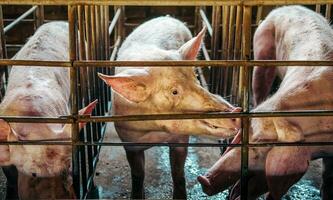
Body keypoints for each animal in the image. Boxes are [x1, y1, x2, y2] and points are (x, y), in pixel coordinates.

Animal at [97, 16, 240, 199]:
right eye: (174, 91)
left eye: (195, 78)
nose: (237, 111)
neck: (156, 132)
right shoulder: (128, 139)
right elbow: (138, 174)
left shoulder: (181, 139)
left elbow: (178, 172)